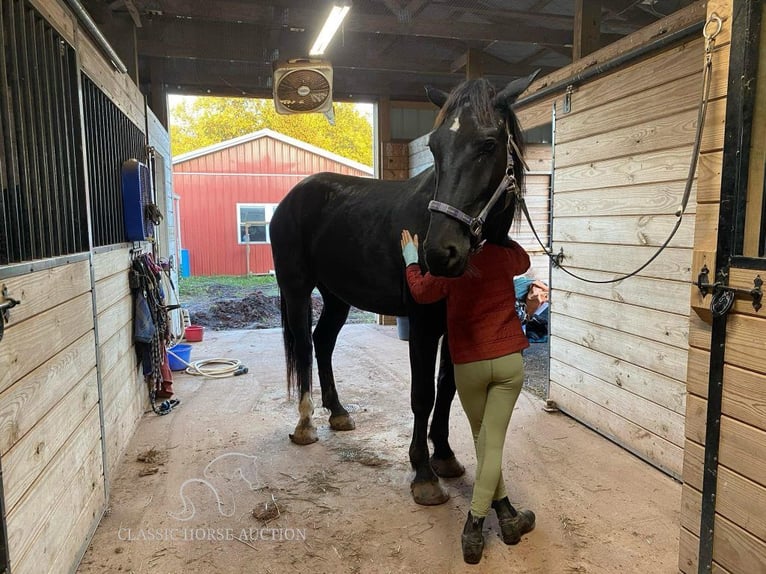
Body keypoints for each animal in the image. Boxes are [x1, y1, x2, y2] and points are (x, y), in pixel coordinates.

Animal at [272, 71, 540, 504]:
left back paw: (339, 413)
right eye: (434, 146)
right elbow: (422, 394)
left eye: (488, 144)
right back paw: (306, 423)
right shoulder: (424, 324)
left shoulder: (453, 325)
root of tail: (293, 197)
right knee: (303, 348)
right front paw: (423, 474)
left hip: (337, 297)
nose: (439, 253)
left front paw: (444, 456)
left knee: (322, 341)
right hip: (296, 290)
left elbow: (446, 388)